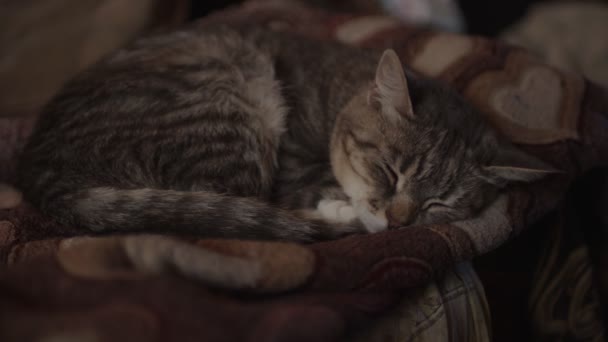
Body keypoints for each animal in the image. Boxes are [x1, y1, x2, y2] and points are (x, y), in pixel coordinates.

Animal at [17, 25, 552, 242]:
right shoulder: (294, 159)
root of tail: (41, 170)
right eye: (388, 171)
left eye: (440, 203)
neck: (340, 90)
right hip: (228, 102)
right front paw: (352, 210)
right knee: (235, 202)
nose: (399, 222)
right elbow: (309, 185)